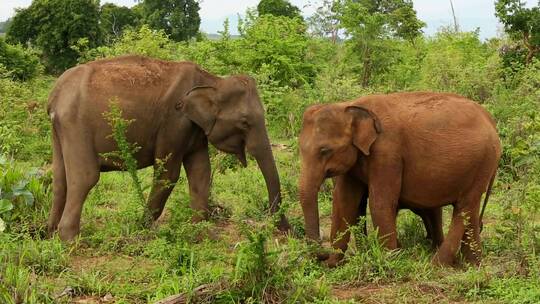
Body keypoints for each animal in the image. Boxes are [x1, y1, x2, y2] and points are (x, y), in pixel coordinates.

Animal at [47, 54, 292, 240]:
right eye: (245, 122)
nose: (285, 230)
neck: (211, 80)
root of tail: (55, 95)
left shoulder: (195, 129)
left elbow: (201, 172)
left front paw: (197, 232)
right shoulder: (175, 122)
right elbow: (168, 174)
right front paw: (142, 227)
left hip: (59, 130)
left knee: (60, 177)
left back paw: (49, 232)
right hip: (76, 125)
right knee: (85, 177)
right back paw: (70, 239)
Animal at [298, 91, 500, 266]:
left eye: (325, 150)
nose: (322, 254)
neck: (350, 106)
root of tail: (491, 120)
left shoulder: (388, 152)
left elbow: (380, 203)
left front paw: (388, 260)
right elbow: (344, 202)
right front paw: (333, 264)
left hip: (482, 162)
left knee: (464, 207)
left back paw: (437, 264)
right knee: (471, 210)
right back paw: (472, 263)